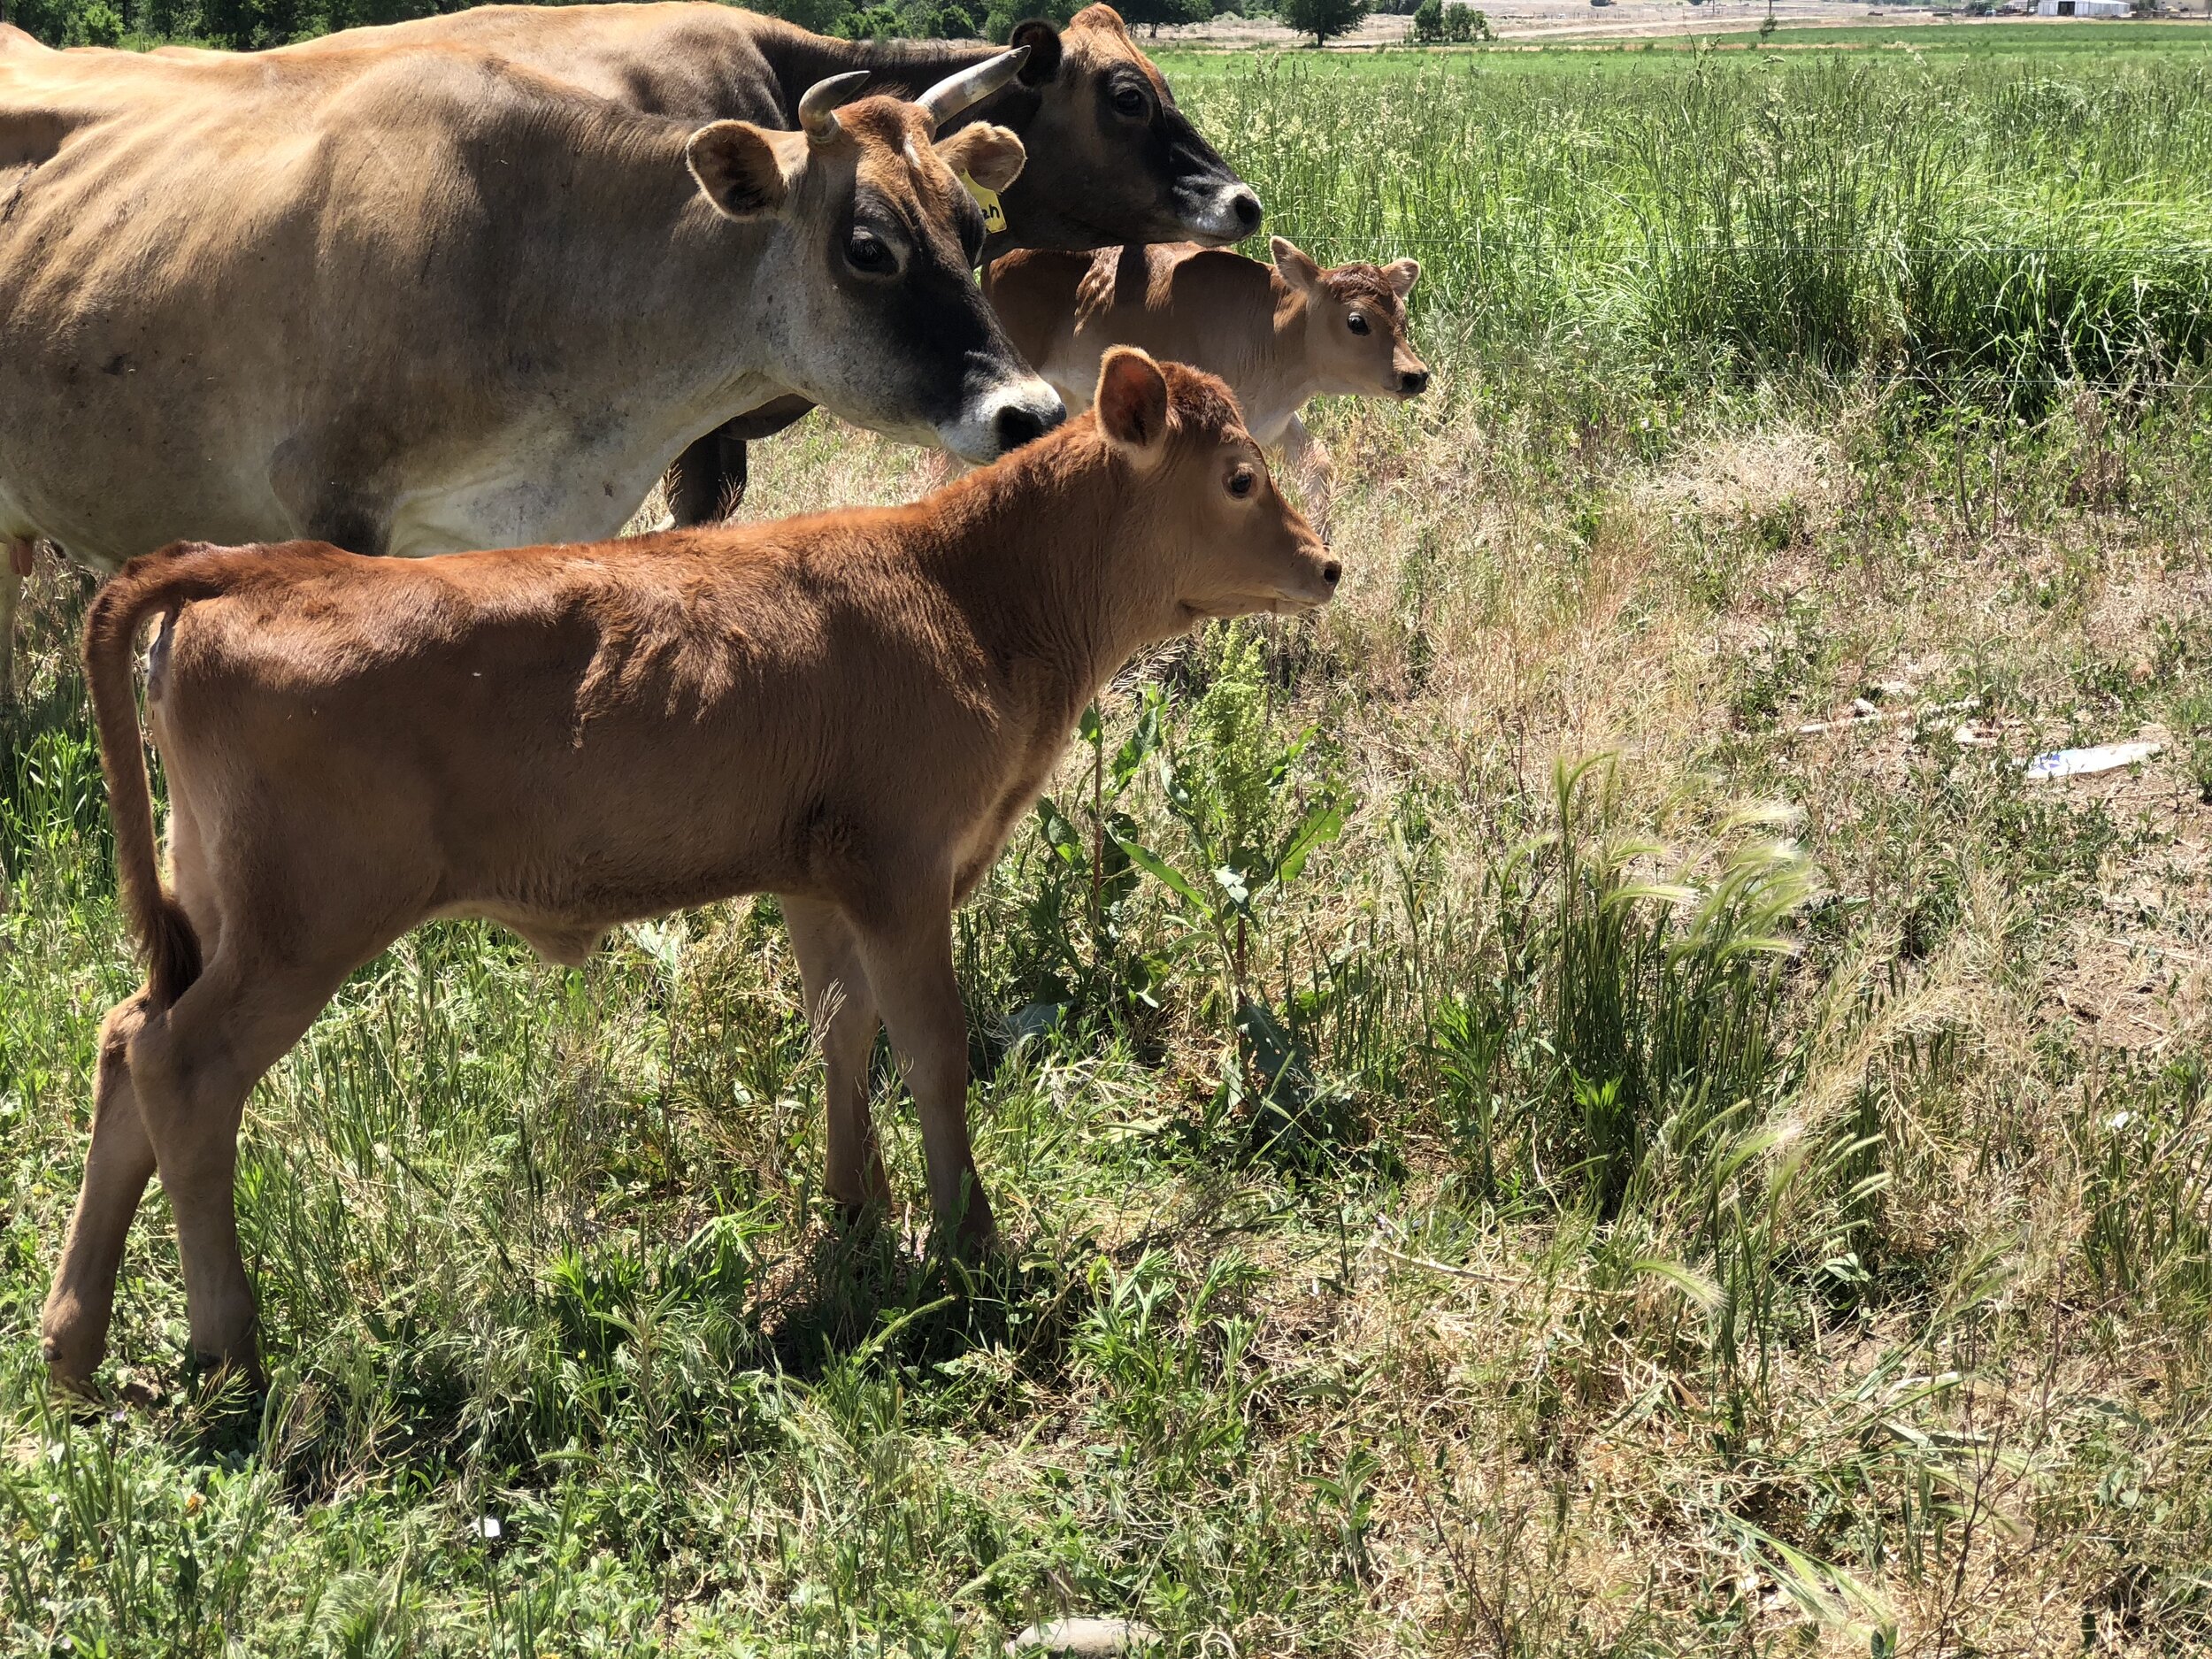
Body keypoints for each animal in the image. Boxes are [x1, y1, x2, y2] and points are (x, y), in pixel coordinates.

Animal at [40, 350, 1338, 1392]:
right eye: (1238, 476)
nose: (1326, 565)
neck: (967, 590)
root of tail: (251, 562)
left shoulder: (821, 878)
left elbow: (840, 1030)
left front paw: (857, 1214)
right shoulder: (905, 867)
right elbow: (934, 1049)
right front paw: (969, 1241)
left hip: (217, 902)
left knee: (124, 1042)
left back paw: (72, 1344)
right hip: (303, 920)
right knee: (185, 1067)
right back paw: (230, 1349)